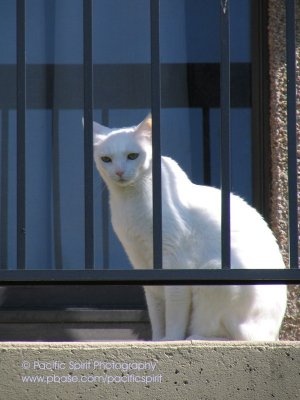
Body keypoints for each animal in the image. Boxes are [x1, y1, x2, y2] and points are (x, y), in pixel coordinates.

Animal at [91, 115, 286, 340]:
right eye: (106, 159)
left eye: (133, 156)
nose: (119, 172)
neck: (130, 202)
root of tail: (273, 334)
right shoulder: (142, 265)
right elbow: (156, 312)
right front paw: (156, 340)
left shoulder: (176, 263)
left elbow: (174, 314)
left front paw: (170, 340)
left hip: (215, 273)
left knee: (228, 334)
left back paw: (195, 338)